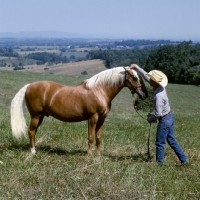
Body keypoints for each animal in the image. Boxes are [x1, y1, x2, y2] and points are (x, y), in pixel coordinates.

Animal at [10, 67, 148, 155]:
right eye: (134, 77)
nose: (144, 95)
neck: (100, 90)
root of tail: (29, 86)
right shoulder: (93, 118)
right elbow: (91, 137)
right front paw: (89, 155)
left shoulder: (102, 119)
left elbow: (98, 137)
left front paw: (98, 155)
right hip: (36, 116)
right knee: (31, 131)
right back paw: (33, 152)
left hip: (41, 116)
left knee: (34, 131)